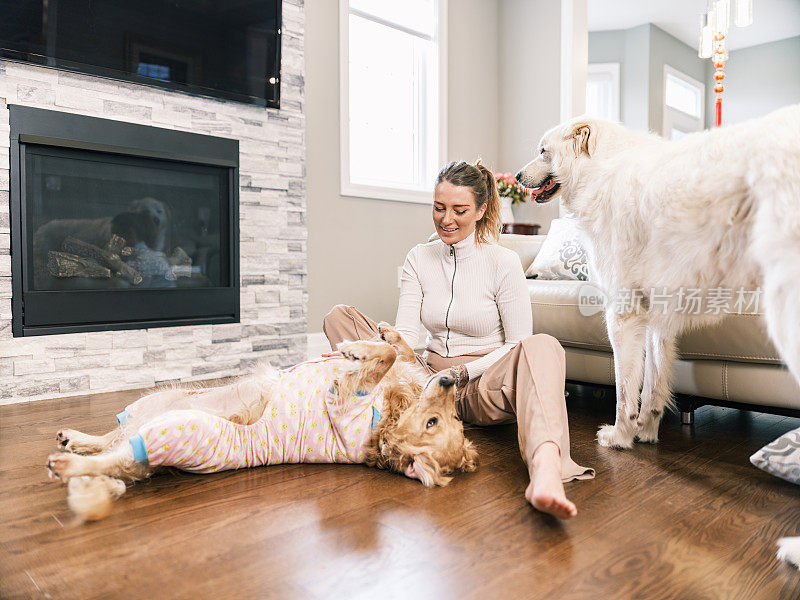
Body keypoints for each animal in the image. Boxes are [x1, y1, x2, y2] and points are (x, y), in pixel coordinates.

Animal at [512, 104, 800, 450]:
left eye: (543, 152)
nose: (515, 176)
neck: (600, 170)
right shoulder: (657, 316)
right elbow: (653, 382)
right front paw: (646, 432)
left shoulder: (624, 312)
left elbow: (625, 387)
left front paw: (620, 436)